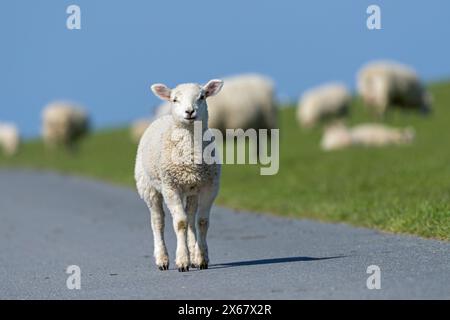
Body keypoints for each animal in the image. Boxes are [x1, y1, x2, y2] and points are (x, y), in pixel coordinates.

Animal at [134, 79, 224, 272]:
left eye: (202, 96)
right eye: (175, 99)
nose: (189, 111)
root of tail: (163, 117)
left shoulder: (210, 186)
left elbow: (202, 222)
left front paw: (201, 258)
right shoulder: (170, 186)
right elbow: (180, 223)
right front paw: (182, 261)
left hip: (192, 190)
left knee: (191, 217)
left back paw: (193, 255)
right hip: (148, 187)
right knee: (158, 221)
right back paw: (162, 259)